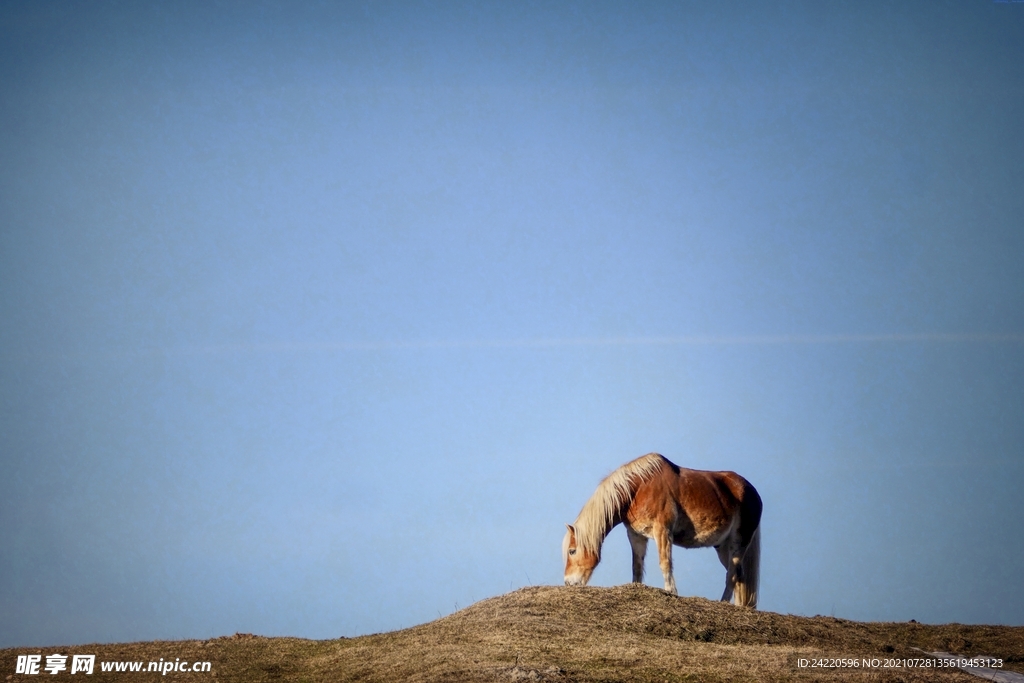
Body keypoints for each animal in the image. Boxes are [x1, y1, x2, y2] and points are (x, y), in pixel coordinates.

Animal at [562, 453, 762, 608]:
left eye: (572, 551)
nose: (568, 583)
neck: (638, 488)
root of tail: (752, 492)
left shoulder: (662, 530)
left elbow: (665, 563)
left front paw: (671, 592)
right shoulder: (636, 535)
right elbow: (637, 566)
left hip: (738, 542)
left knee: (732, 575)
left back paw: (723, 602)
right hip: (722, 547)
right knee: (739, 576)